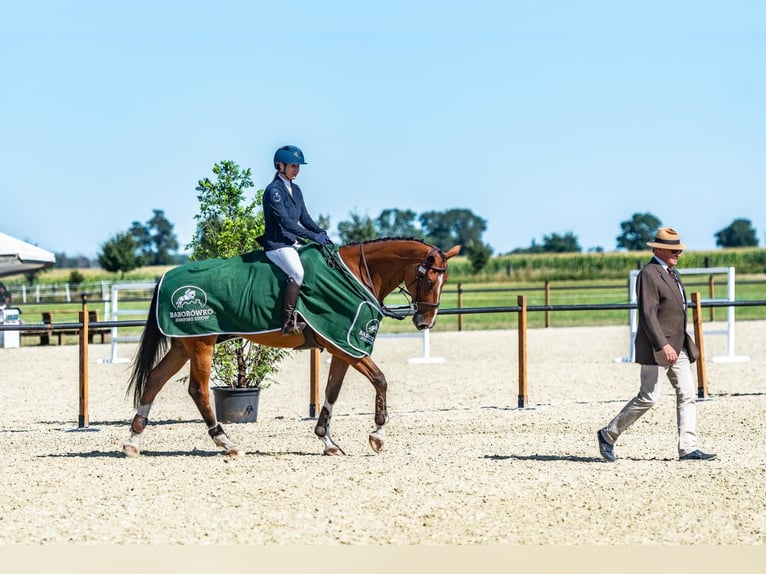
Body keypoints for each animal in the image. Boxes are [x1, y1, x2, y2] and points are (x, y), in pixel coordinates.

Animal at [121, 238, 462, 460]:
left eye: (443, 282)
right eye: (429, 280)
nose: (426, 321)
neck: (355, 274)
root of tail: (167, 277)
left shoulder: (342, 348)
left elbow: (332, 391)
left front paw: (328, 442)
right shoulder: (348, 346)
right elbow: (380, 380)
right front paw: (377, 436)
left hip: (183, 345)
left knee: (154, 380)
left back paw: (133, 441)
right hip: (201, 344)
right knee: (199, 390)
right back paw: (226, 442)